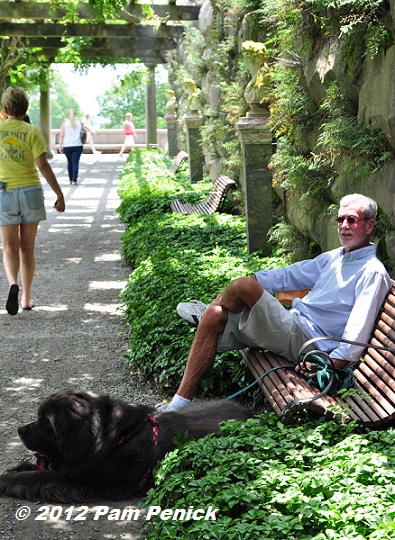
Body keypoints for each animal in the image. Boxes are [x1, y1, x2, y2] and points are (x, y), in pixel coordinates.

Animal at [0, 392, 254, 502]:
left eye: (45, 423)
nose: (20, 430)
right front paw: (19, 467)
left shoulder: (80, 480)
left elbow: (39, 476)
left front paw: (7, 480)